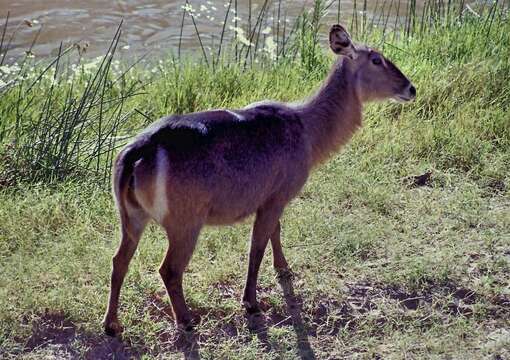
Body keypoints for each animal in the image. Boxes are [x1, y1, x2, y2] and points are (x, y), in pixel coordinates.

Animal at [102, 24, 414, 334]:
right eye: (377, 59)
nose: (410, 88)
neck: (308, 132)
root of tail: (134, 154)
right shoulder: (277, 195)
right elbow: (257, 248)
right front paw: (251, 303)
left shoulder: (270, 196)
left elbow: (276, 232)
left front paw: (284, 269)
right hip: (185, 220)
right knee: (168, 269)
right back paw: (186, 320)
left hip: (130, 216)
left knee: (119, 261)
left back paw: (112, 324)